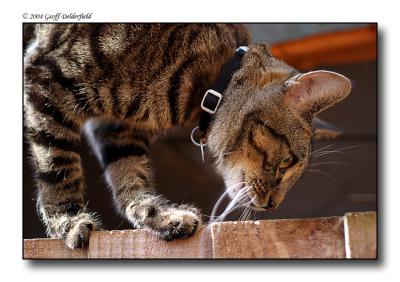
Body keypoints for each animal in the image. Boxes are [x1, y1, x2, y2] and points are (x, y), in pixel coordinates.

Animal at [24, 24, 350, 249]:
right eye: (285, 164)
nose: (273, 206)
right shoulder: (48, 76)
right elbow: (57, 165)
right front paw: (67, 221)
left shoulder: (117, 129)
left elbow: (130, 176)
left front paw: (159, 217)